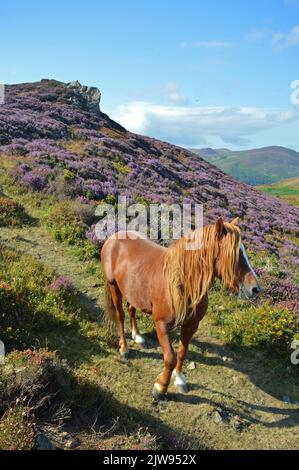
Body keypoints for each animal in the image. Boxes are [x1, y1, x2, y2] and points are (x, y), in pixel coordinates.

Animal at [100, 217, 260, 400]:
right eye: (235, 254)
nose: (255, 289)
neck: (182, 283)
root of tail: (114, 237)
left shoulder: (191, 326)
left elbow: (182, 353)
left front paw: (179, 379)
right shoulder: (160, 324)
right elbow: (170, 358)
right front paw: (160, 388)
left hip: (131, 290)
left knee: (131, 309)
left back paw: (138, 337)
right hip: (114, 286)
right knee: (120, 316)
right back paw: (124, 348)